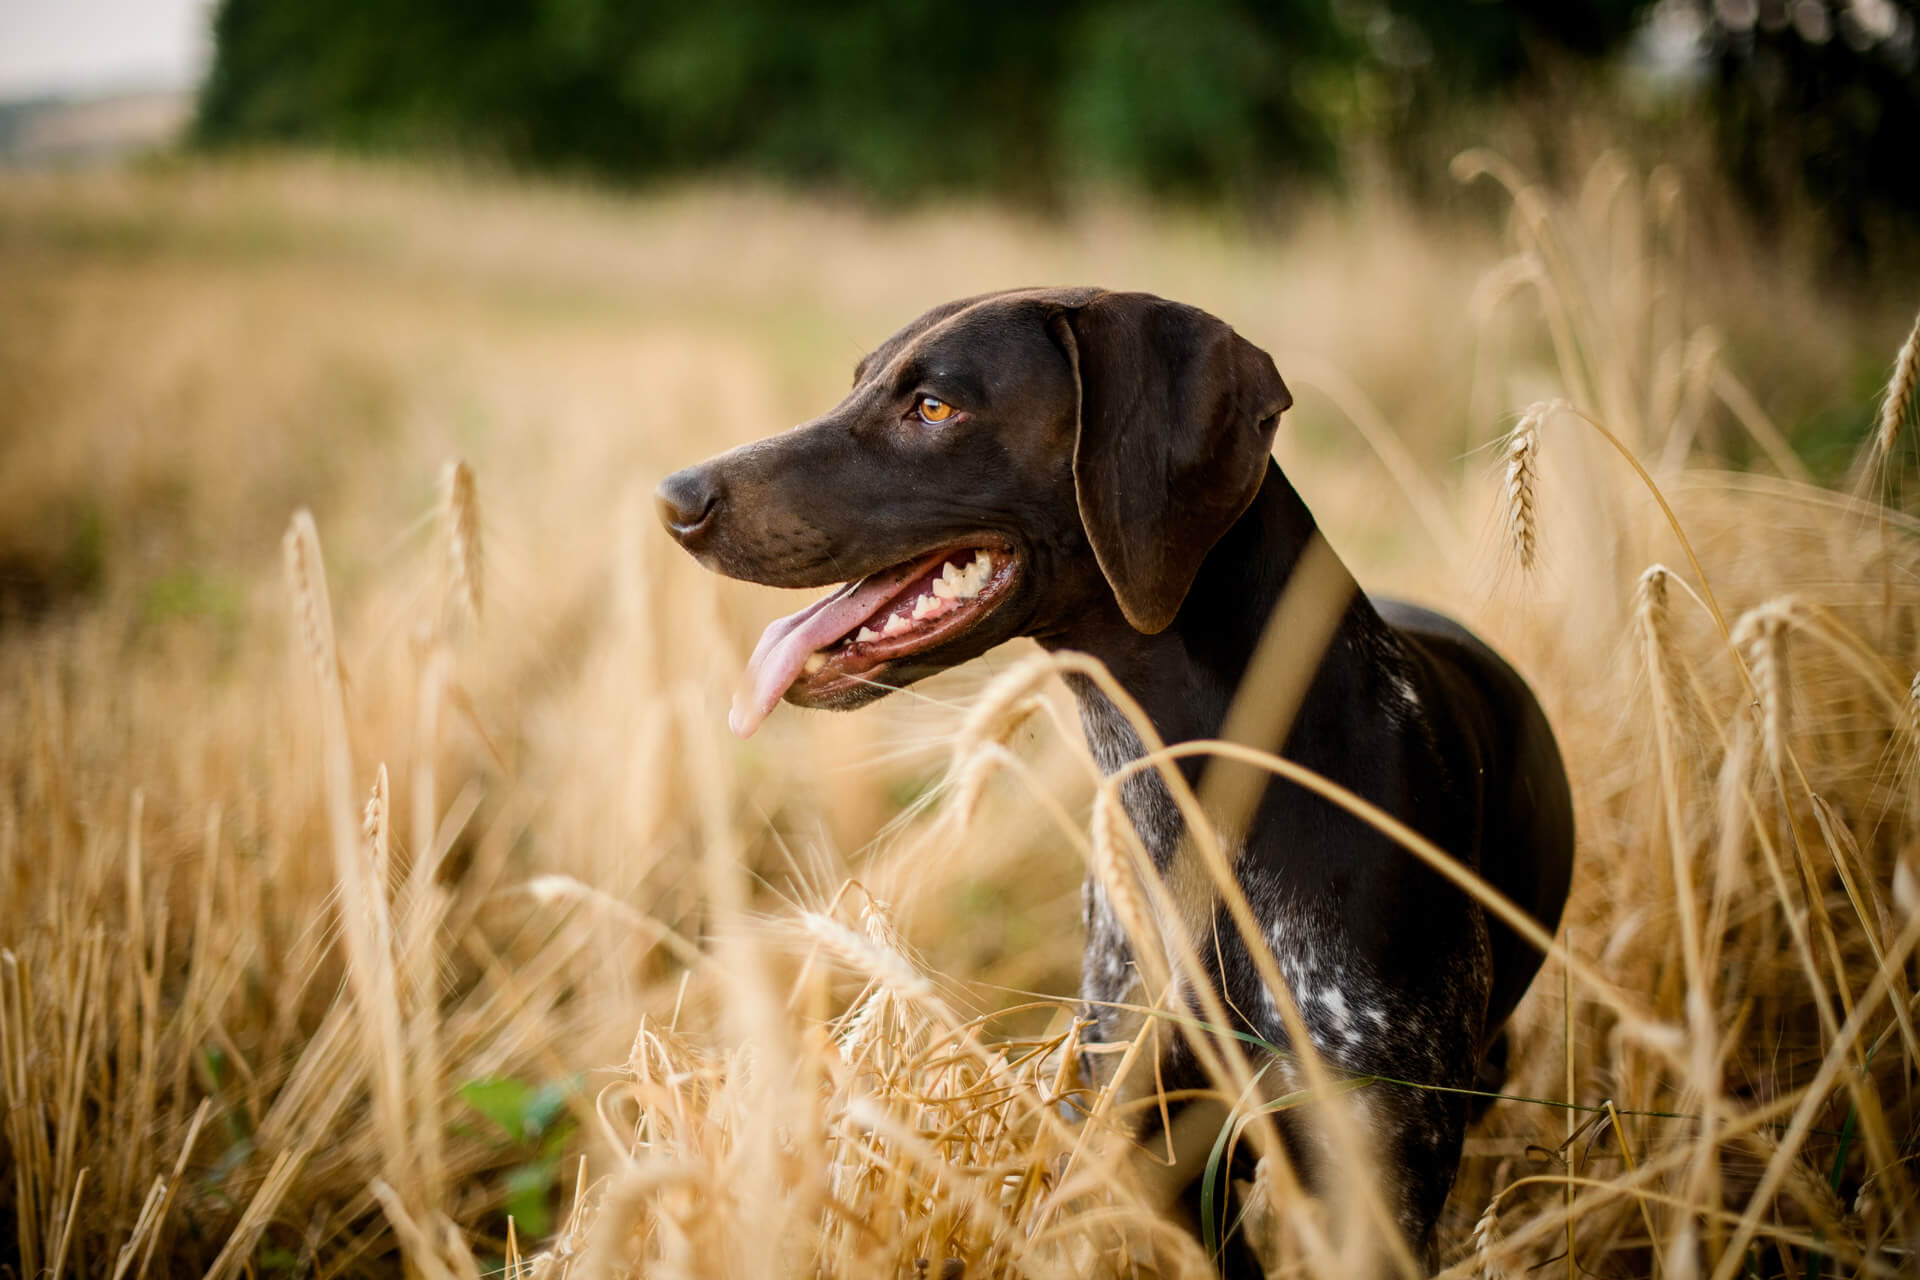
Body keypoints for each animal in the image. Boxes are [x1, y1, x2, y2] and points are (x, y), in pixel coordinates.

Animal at [660, 289, 1574, 1274]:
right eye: (860, 382)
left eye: (933, 407)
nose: (675, 499)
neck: (1202, 800)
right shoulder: (1159, 1154)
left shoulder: (1373, 1189)